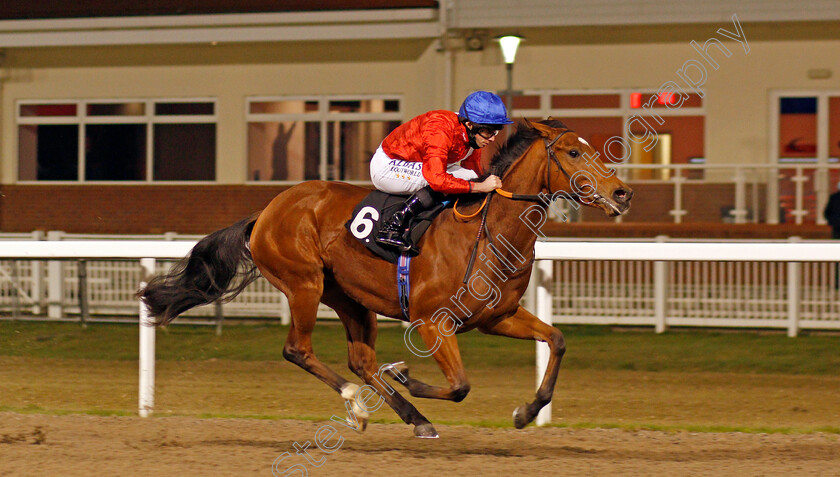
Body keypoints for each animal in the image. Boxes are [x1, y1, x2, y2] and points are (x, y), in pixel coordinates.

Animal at [143, 118, 632, 436]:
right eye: (573, 152)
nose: (622, 192)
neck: (488, 231)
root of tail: (265, 212)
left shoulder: (498, 317)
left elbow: (557, 340)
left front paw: (527, 412)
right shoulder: (433, 321)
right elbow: (460, 386)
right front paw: (406, 376)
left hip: (351, 298)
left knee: (361, 360)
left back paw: (413, 418)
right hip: (304, 284)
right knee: (298, 350)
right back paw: (358, 405)